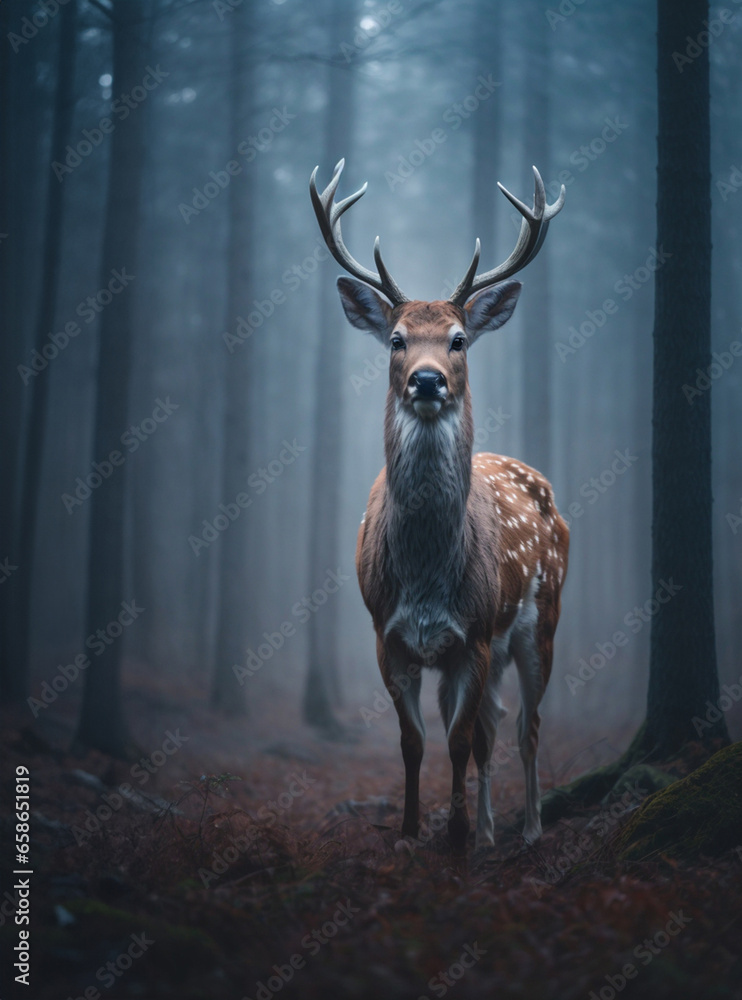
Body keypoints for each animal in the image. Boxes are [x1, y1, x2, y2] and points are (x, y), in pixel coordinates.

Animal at [309, 159, 569, 852]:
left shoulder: (471, 634)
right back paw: (489, 829)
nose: (427, 380)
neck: (427, 576)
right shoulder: (386, 631)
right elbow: (414, 742)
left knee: (526, 725)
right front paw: (410, 832)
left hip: (541, 619)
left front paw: (452, 836)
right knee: (496, 722)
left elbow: (456, 741)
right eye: (396, 339)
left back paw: (529, 828)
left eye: (458, 340)